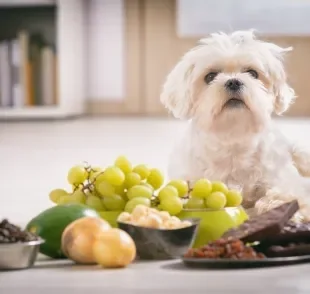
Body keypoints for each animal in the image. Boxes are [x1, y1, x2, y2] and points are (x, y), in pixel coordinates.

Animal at [161, 30, 310, 223]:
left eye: (253, 73)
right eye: (210, 76)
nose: (233, 81)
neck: (233, 137)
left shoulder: (282, 178)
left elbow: (287, 193)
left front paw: (278, 206)